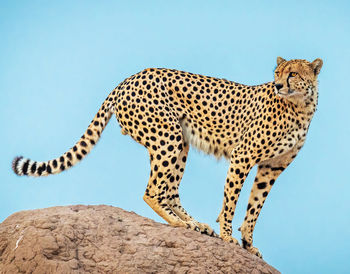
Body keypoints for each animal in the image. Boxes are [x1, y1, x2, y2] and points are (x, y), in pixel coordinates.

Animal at [11, 57, 322, 256]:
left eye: (292, 74)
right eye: (277, 73)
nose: (278, 85)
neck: (300, 107)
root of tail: (130, 78)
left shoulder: (271, 167)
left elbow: (255, 207)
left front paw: (247, 243)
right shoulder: (243, 157)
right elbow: (231, 202)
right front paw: (228, 236)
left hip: (179, 142)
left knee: (169, 190)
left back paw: (195, 224)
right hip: (167, 137)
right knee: (152, 191)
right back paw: (181, 223)